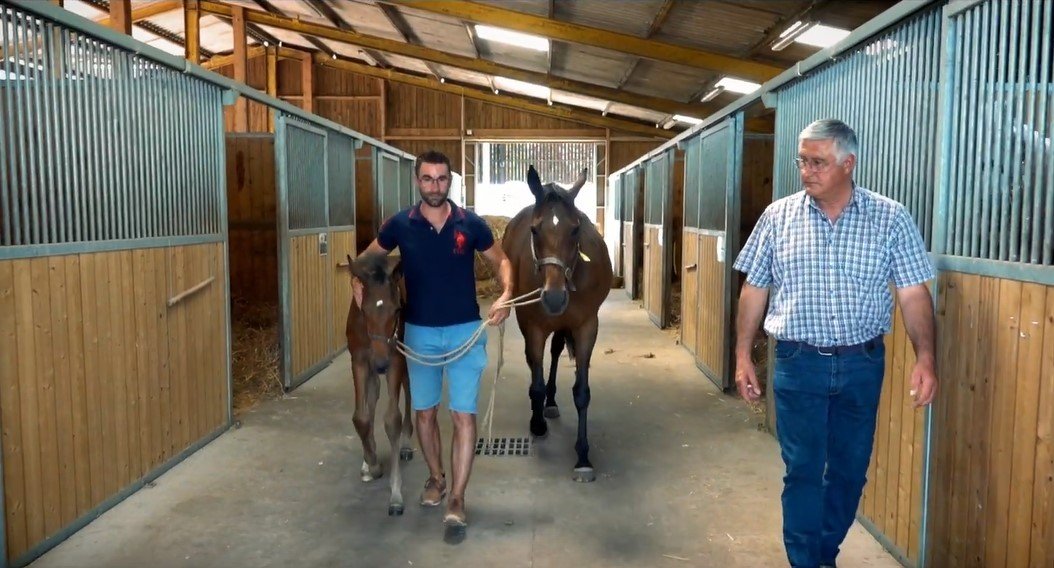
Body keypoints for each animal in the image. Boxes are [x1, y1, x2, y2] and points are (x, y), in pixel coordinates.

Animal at [346, 252, 415, 515]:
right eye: (363, 310)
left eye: (397, 310)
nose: (381, 363)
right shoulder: (359, 361)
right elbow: (361, 417)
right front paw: (371, 463)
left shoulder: (396, 359)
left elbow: (392, 419)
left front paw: (395, 494)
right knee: (373, 396)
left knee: (410, 390)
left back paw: (406, 443)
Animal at [501, 166, 614, 482]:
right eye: (534, 230)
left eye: (575, 229)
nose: (553, 298)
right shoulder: (534, 327)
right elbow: (537, 379)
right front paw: (537, 422)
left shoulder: (587, 326)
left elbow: (582, 392)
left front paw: (583, 456)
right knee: (534, 364)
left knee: (554, 354)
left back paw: (550, 403)